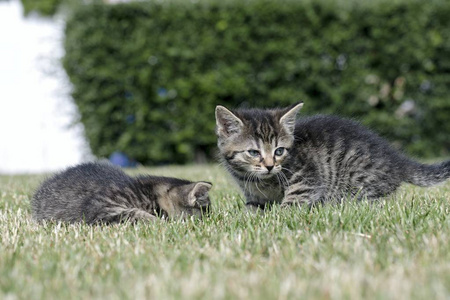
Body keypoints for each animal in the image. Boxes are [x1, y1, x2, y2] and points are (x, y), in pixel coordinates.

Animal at [215, 102, 450, 209]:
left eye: (279, 151)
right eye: (254, 152)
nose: (270, 166)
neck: (260, 181)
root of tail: (397, 160)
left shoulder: (306, 181)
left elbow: (291, 203)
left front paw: (277, 218)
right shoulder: (254, 196)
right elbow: (251, 209)